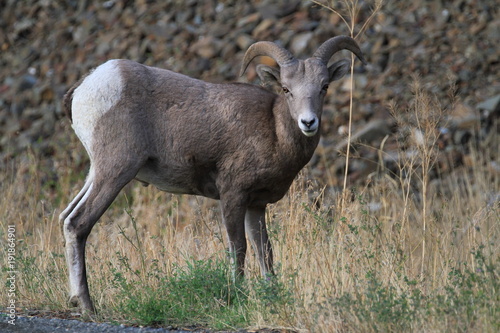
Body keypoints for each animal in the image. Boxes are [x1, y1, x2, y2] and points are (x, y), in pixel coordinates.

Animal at [60, 36, 366, 312]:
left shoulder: (256, 205)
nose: (308, 122)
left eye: (324, 87)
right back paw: (87, 306)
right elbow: (238, 249)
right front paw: (237, 298)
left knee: (66, 217)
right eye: (286, 88)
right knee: (78, 223)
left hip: (96, 173)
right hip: (115, 171)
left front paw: (272, 298)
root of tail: (86, 86)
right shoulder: (233, 196)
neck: (274, 130)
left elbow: (265, 252)